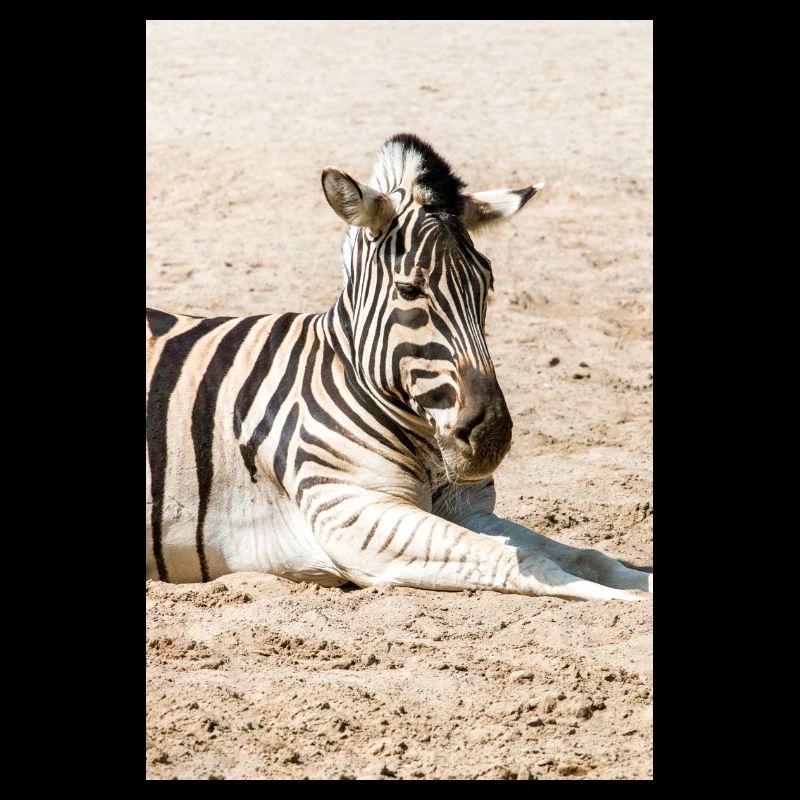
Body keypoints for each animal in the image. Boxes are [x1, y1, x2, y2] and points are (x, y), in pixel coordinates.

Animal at [146, 133, 652, 601]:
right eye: (410, 290)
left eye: (487, 284)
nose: (492, 437)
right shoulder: (352, 514)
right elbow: (523, 560)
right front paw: (622, 601)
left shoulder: (470, 510)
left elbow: (587, 555)